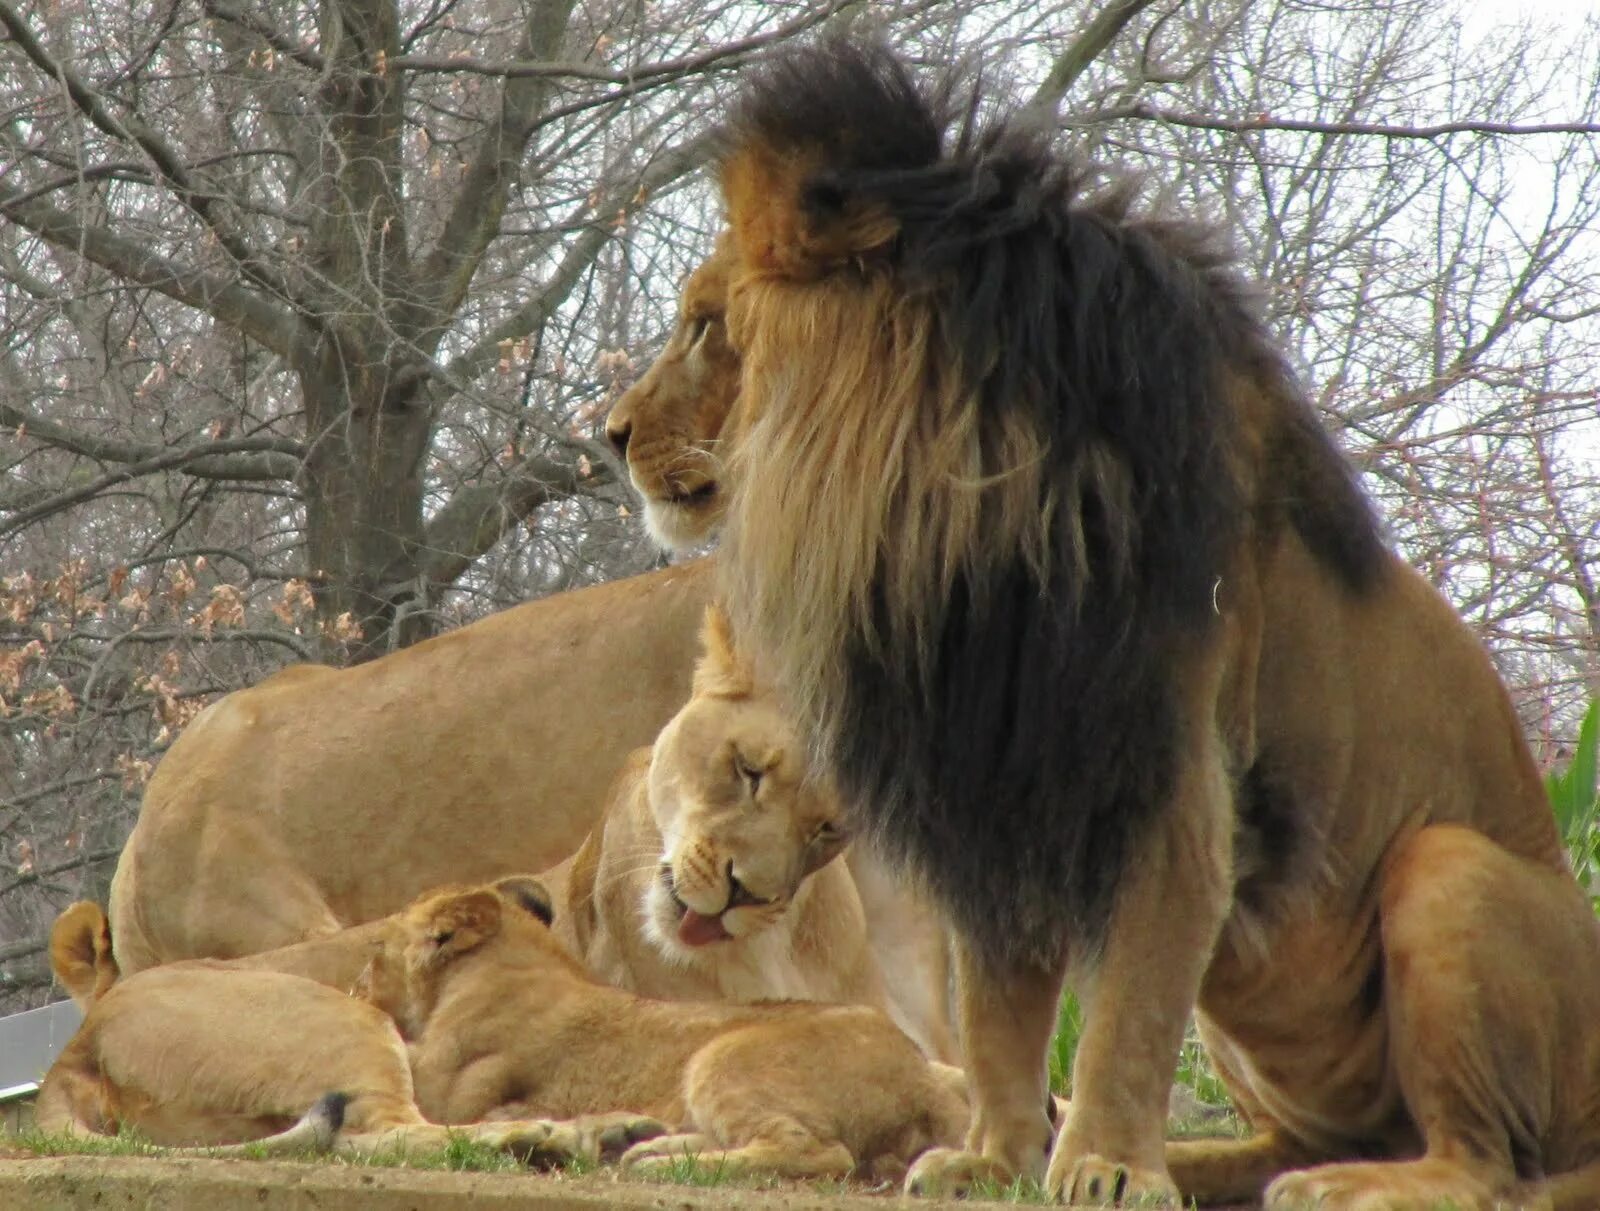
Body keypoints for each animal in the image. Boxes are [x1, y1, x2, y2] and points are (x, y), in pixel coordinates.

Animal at [356, 876, 966, 1177]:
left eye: (374, 952)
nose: (355, 988)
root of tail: (920, 1072)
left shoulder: (449, 1087)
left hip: (720, 1057)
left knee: (819, 1153)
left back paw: (658, 1161)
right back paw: (638, 1143)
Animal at [601, 37, 1600, 1209]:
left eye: (706, 323)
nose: (612, 433)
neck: (962, 513)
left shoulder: (1165, 788)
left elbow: (1128, 1007)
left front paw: (1108, 1167)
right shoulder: (988, 785)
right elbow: (995, 1004)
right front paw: (994, 1156)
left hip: (1447, 868)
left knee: (1489, 1163)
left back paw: (1354, 1182)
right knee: (1310, 1134)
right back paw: (1225, 1163)